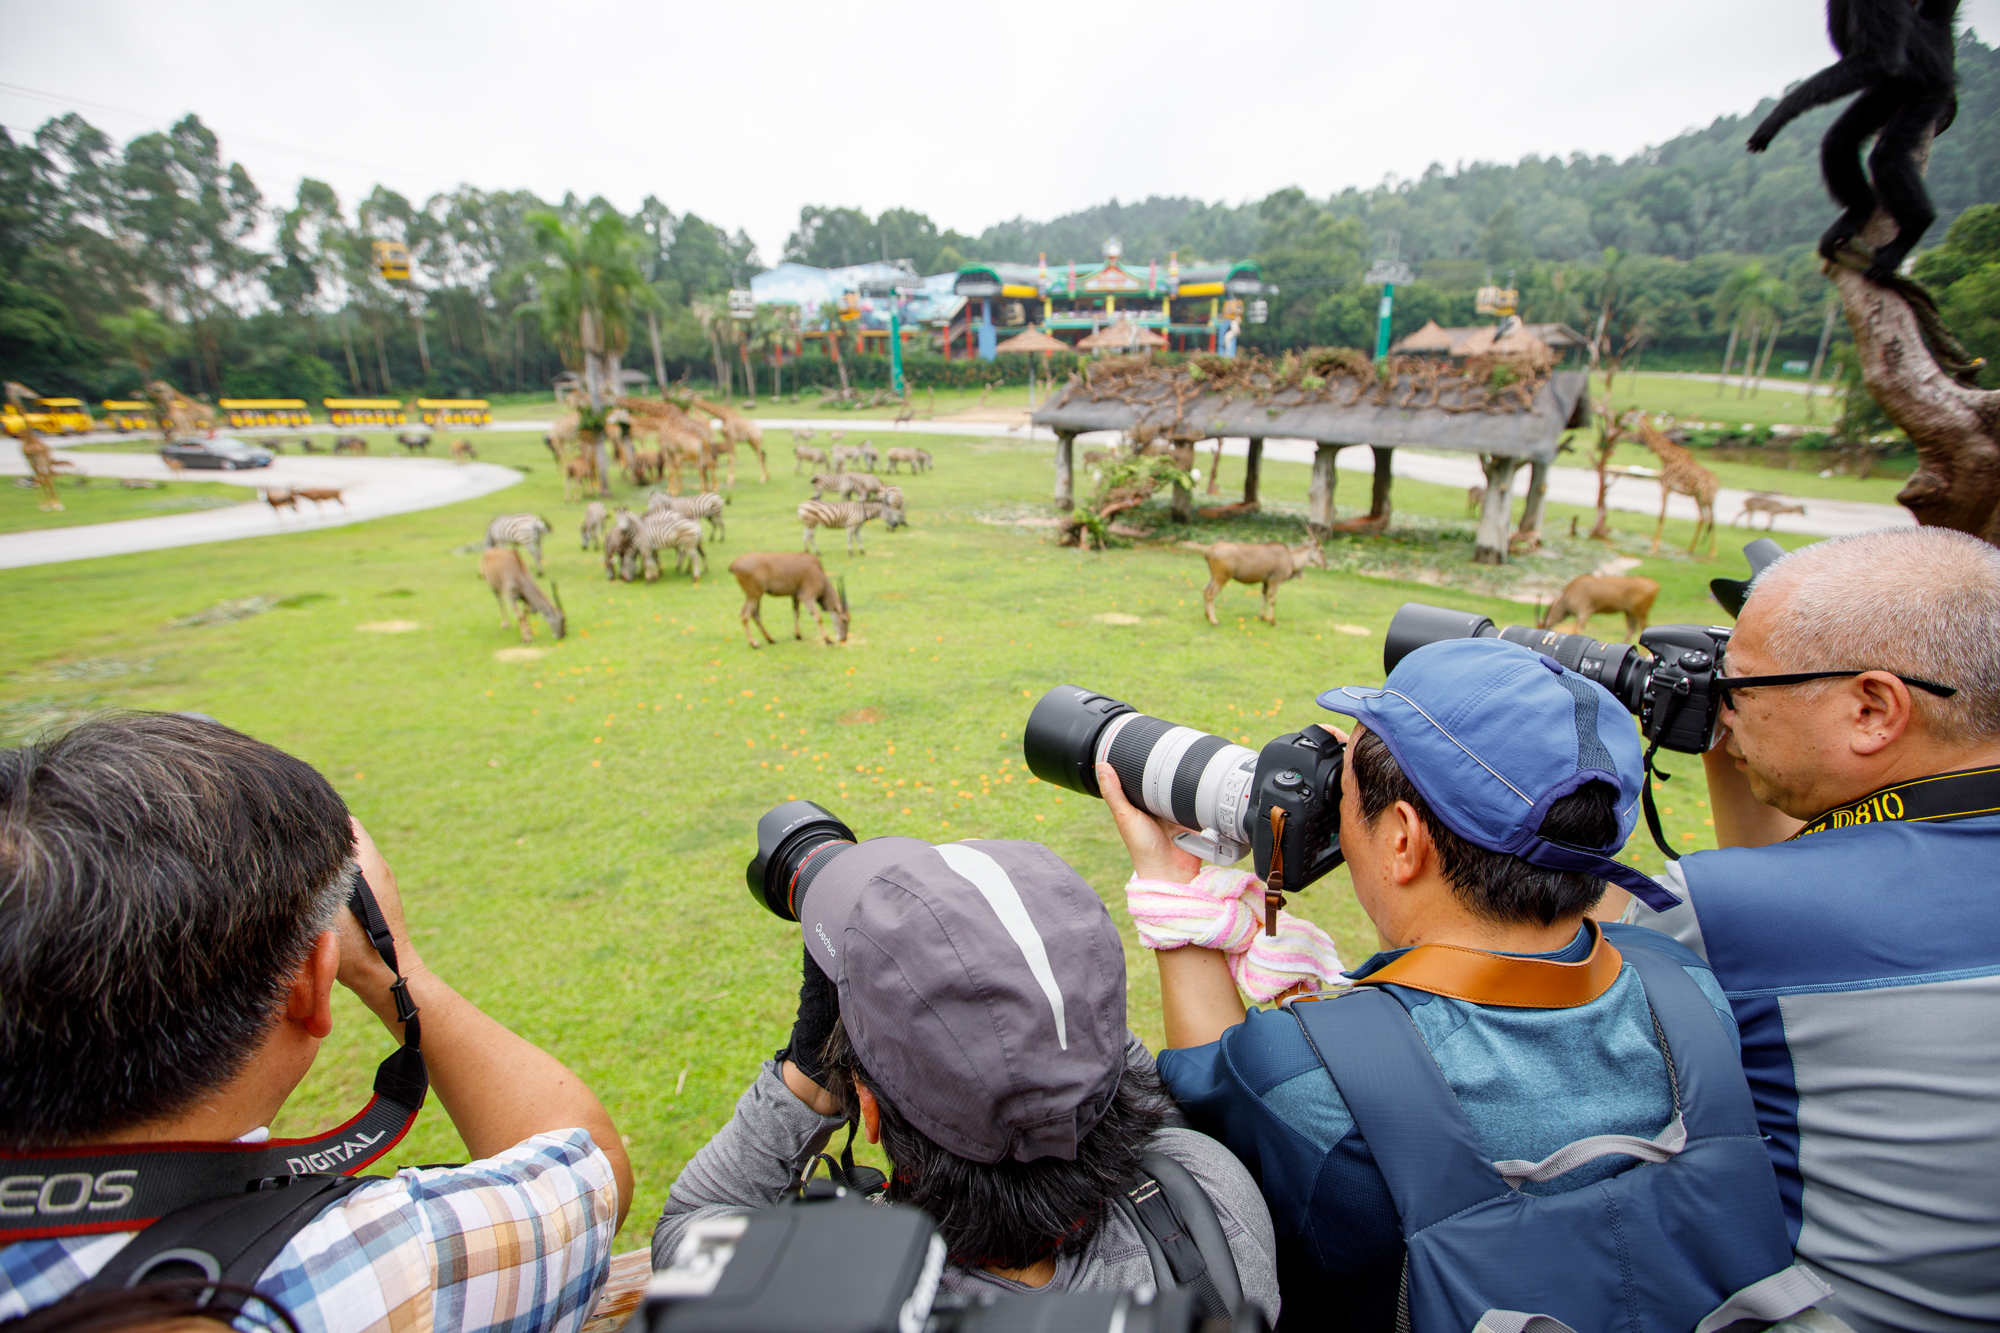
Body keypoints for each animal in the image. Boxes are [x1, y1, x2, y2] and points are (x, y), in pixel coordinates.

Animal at [1184, 536, 1328, 628]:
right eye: (1321, 550)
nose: (1325, 565)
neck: (1291, 558)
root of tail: (1210, 550)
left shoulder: (1266, 581)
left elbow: (1264, 595)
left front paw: (1263, 617)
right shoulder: (1275, 581)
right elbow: (1272, 599)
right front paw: (1273, 621)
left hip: (1213, 576)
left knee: (1205, 590)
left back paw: (1207, 616)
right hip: (1222, 578)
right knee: (1210, 594)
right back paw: (1214, 621)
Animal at [1536, 572, 1664, 640]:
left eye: (1543, 628)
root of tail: (1655, 585)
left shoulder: (1585, 611)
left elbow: (1577, 630)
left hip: (1640, 613)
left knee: (1643, 629)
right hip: (1629, 612)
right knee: (1631, 630)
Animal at [1640, 420, 1720, 556]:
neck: (1666, 458)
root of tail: (1718, 484)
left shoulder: (1665, 486)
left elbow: (1661, 516)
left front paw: (1653, 549)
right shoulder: (1667, 488)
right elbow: (1662, 515)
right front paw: (1655, 547)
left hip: (1707, 498)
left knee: (1711, 519)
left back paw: (1712, 553)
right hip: (1698, 497)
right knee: (1703, 518)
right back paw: (1690, 549)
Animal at [1752, 0, 1952, 280]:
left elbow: (1879, 59)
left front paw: (1781, 112)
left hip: (1927, 90)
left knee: (1887, 156)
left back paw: (1914, 228)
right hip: (1885, 95)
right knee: (1838, 142)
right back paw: (1860, 208)